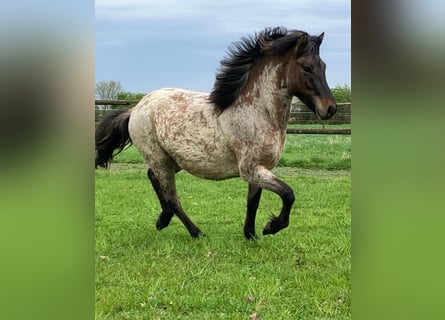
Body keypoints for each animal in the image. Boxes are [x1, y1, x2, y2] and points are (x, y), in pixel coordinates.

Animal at [94, 26, 336, 239]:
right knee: (172, 196)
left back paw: (163, 220)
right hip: (159, 158)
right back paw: (195, 232)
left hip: (173, 160)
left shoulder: (260, 169)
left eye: (324, 66)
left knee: (153, 178)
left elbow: (253, 202)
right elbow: (288, 194)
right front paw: (271, 227)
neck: (256, 111)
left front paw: (251, 235)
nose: (330, 108)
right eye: (306, 67)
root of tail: (136, 108)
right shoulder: (251, 169)